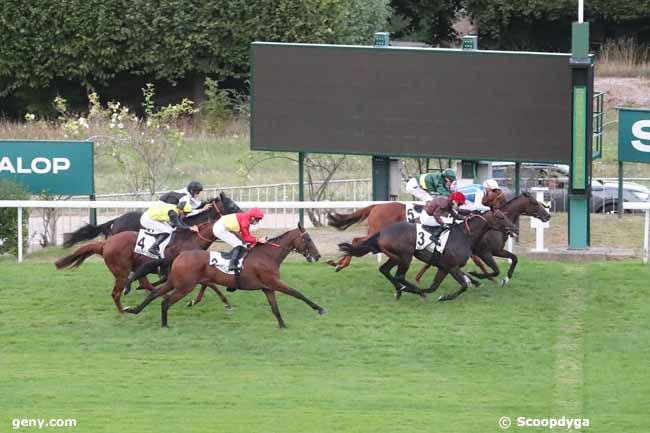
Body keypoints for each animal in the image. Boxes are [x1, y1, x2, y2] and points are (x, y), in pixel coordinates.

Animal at [53, 201, 233, 312]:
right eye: (231, 204)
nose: (240, 214)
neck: (190, 238)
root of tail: (106, 243)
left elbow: (208, 284)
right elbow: (207, 283)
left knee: (143, 282)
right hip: (125, 267)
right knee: (134, 284)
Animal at [124, 223, 326, 328]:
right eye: (308, 239)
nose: (317, 256)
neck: (267, 255)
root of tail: (180, 255)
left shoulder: (267, 287)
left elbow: (275, 308)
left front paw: (282, 325)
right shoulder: (274, 282)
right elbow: (297, 293)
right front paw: (320, 309)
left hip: (176, 282)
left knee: (154, 294)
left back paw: (134, 310)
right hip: (184, 286)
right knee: (165, 301)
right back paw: (164, 324)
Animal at [340, 211, 516, 302]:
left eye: (506, 215)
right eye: (501, 216)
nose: (514, 228)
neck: (464, 235)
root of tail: (382, 232)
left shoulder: (444, 267)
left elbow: (435, 286)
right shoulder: (452, 266)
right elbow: (462, 285)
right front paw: (444, 296)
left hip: (395, 257)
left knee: (385, 270)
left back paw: (402, 290)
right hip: (405, 257)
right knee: (399, 276)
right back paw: (410, 290)